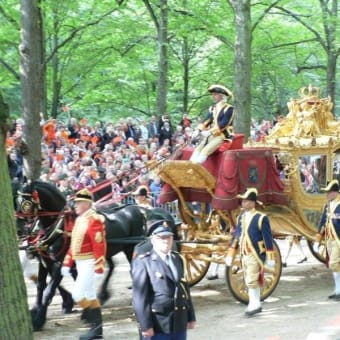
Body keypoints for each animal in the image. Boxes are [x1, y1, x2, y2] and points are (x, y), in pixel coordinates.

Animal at [15, 181, 149, 332]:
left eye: (26, 202)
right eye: (16, 200)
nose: (19, 229)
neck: (61, 226)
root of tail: (137, 209)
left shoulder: (60, 263)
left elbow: (48, 291)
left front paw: (39, 319)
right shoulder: (45, 261)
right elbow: (40, 287)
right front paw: (36, 316)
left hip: (131, 247)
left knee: (132, 268)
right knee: (112, 266)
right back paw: (103, 295)